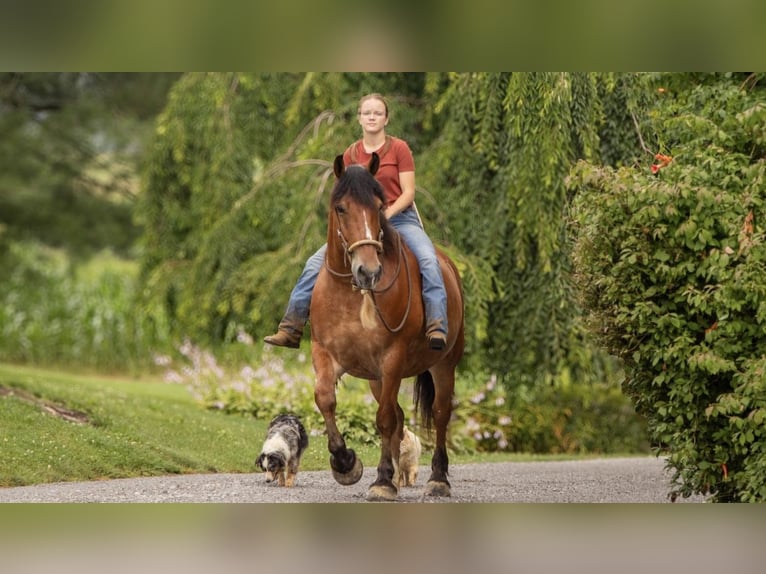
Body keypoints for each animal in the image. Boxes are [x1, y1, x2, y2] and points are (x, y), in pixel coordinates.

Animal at [308, 154, 464, 504]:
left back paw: (438, 479)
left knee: (439, 413)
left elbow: (383, 419)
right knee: (400, 416)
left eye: (379, 207)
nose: (368, 271)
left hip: (443, 364)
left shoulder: (392, 359)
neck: (352, 294)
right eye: (341, 208)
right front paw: (345, 463)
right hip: (376, 379)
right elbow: (325, 398)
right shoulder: (325, 353)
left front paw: (381, 482)